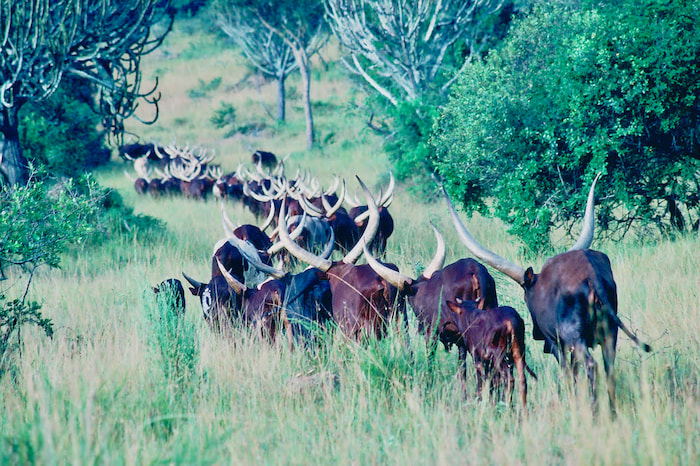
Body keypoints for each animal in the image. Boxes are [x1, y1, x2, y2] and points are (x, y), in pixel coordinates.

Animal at [443, 174, 651, 412]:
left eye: (527, 296)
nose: (535, 333)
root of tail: (592, 277)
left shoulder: (555, 342)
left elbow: (568, 373)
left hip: (573, 337)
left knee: (590, 366)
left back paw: (594, 411)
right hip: (609, 333)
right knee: (608, 368)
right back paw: (612, 411)